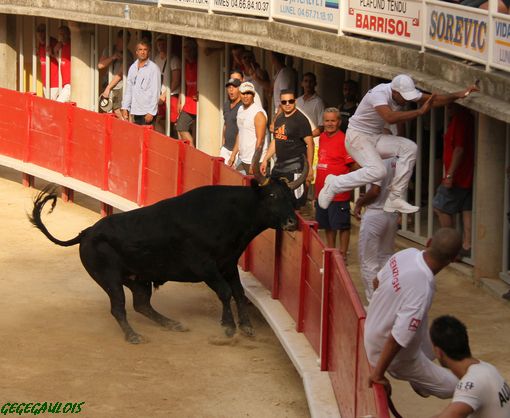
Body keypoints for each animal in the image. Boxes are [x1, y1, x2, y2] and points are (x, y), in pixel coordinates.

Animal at [29, 161, 306, 342]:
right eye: (271, 196)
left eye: (290, 197)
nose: (293, 222)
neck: (231, 214)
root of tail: (86, 233)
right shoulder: (205, 266)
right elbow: (225, 292)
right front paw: (228, 327)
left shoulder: (228, 263)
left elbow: (237, 292)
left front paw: (246, 327)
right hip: (109, 279)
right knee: (119, 307)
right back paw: (133, 336)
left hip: (138, 278)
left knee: (141, 304)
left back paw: (172, 324)